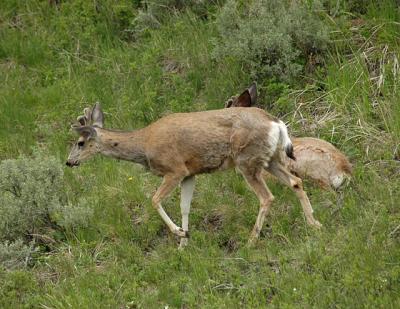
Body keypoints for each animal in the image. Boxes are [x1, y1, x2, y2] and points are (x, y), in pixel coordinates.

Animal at [66, 102, 322, 247]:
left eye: (80, 143)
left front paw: (180, 233)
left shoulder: (175, 169)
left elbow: (154, 199)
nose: (69, 162)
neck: (145, 144)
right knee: (296, 181)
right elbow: (185, 207)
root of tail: (276, 123)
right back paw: (314, 223)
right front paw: (184, 242)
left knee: (267, 197)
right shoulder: (190, 173)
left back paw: (251, 240)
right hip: (271, 159)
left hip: (247, 160)